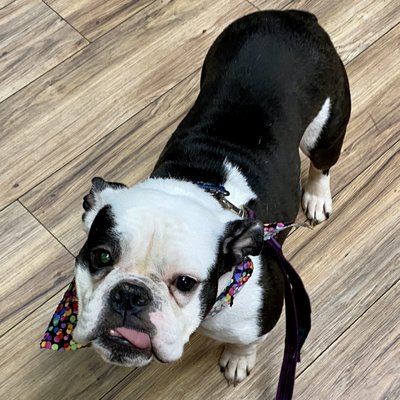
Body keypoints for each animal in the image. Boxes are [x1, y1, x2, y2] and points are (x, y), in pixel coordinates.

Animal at [72, 10, 350, 384]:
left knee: (322, 162)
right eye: (100, 256)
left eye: (185, 283)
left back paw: (317, 197)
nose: (130, 294)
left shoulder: (259, 318)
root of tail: (293, 17)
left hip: (325, 126)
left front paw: (237, 359)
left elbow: (247, 342)